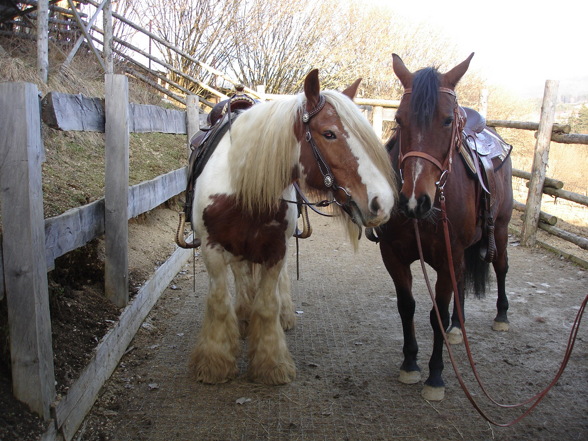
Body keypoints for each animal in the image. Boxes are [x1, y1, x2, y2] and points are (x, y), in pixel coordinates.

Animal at [191, 69, 398, 384]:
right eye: (329, 133)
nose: (382, 203)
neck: (241, 185)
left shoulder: (276, 249)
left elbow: (267, 305)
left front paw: (271, 364)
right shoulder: (212, 249)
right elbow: (218, 301)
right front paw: (215, 363)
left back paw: (282, 316)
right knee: (241, 275)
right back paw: (243, 317)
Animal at [374, 53, 512, 400]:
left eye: (448, 120)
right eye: (399, 119)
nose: (414, 200)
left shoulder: (448, 256)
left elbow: (436, 314)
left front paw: (436, 375)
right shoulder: (393, 255)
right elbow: (407, 306)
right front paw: (410, 363)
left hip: (500, 230)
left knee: (501, 267)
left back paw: (501, 315)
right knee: (461, 284)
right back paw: (457, 327)